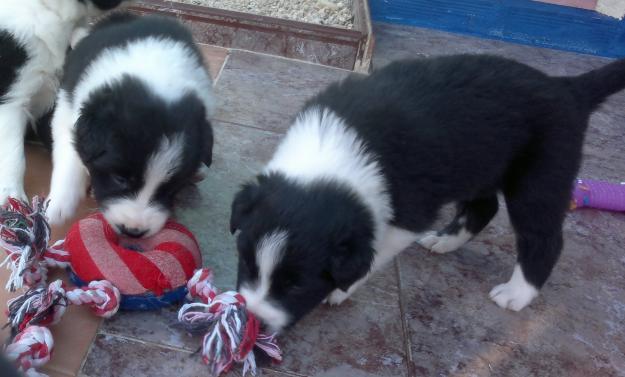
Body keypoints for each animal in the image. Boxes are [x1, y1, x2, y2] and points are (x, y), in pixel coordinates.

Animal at [46, 13, 214, 238]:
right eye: (120, 178)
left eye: (170, 188)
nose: (133, 232)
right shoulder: (68, 106)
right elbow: (69, 155)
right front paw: (58, 206)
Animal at [230, 54, 625, 330]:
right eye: (246, 263)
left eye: (296, 286)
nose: (254, 320)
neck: (332, 155)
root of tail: (568, 88)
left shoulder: (408, 214)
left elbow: (374, 253)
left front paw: (341, 289)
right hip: (478, 164)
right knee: (484, 207)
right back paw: (446, 241)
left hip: (539, 176)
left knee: (543, 238)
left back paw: (518, 292)